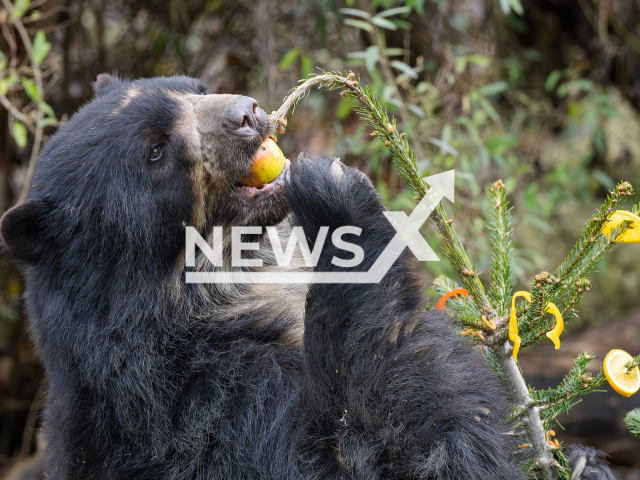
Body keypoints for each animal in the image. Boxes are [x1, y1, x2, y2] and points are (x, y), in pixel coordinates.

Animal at [0, 75, 604, 480]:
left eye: (193, 88)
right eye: (155, 150)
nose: (248, 113)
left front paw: (579, 459)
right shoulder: (193, 406)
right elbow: (366, 444)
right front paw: (333, 189)